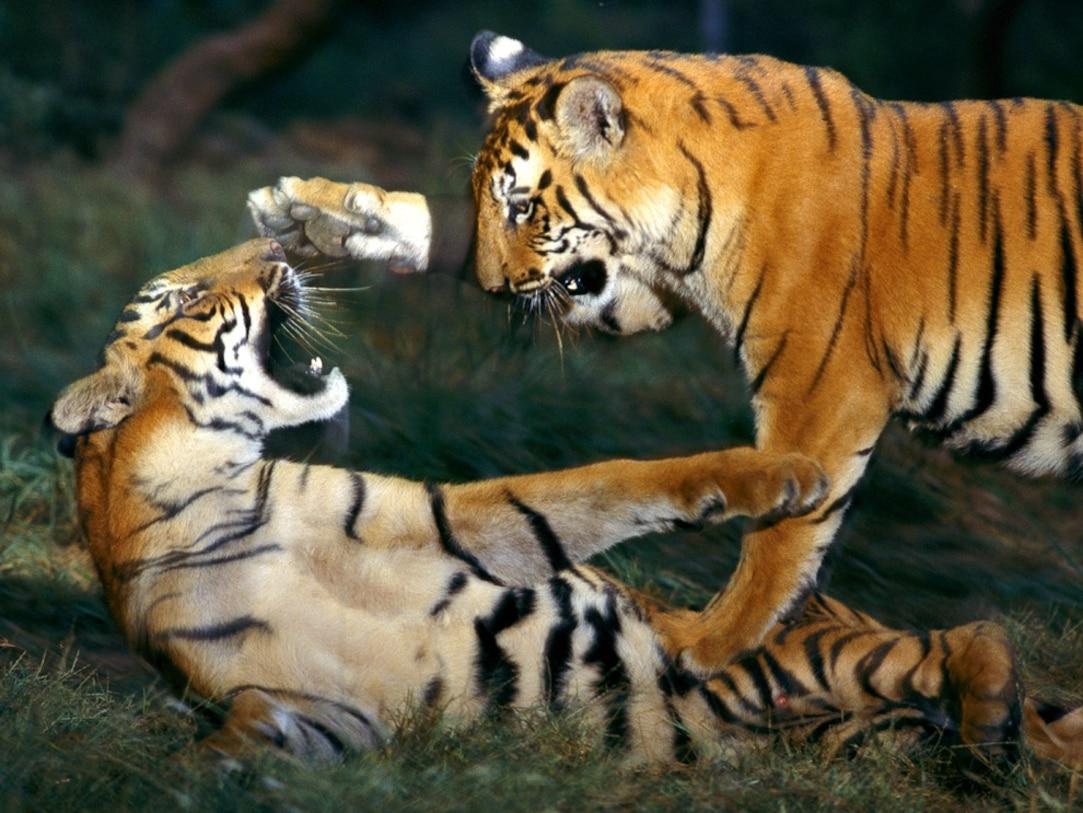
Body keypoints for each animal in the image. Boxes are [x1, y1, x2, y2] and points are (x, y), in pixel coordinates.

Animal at [47, 237, 1081, 770]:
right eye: (189, 296)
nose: (277, 249)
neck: (208, 487)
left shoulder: (448, 521)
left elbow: (603, 482)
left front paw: (783, 475)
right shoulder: (312, 709)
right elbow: (239, 733)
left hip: (818, 647)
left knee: (972, 635)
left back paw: (999, 732)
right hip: (825, 696)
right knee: (965, 654)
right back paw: (997, 742)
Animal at [247, 30, 1083, 675]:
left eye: (521, 205)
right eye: (487, 200)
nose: (492, 286)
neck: (684, 211)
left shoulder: (822, 385)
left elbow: (780, 538)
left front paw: (701, 644)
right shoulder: (627, 288)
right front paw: (327, 213)